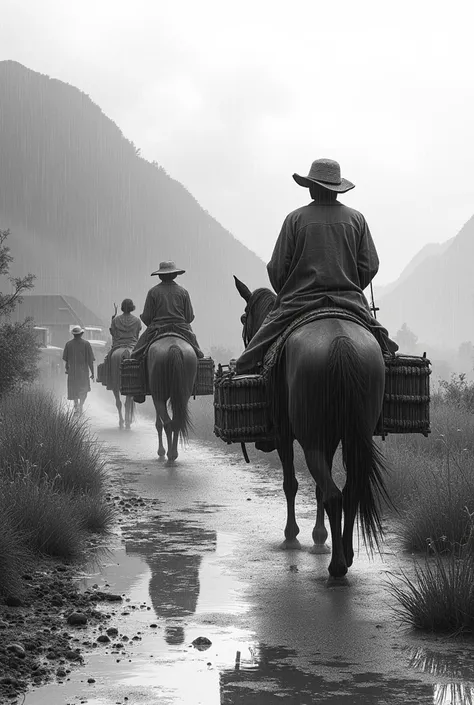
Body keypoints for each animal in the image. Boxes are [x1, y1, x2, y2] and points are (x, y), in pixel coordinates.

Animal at [234, 276, 392, 576]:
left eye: (243, 318)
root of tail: (341, 342)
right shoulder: (328, 439)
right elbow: (316, 488)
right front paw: (320, 537)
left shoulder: (285, 436)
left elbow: (291, 484)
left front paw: (292, 536)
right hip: (351, 435)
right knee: (347, 491)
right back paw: (347, 554)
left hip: (311, 441)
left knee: (332, 494)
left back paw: (337, 566)